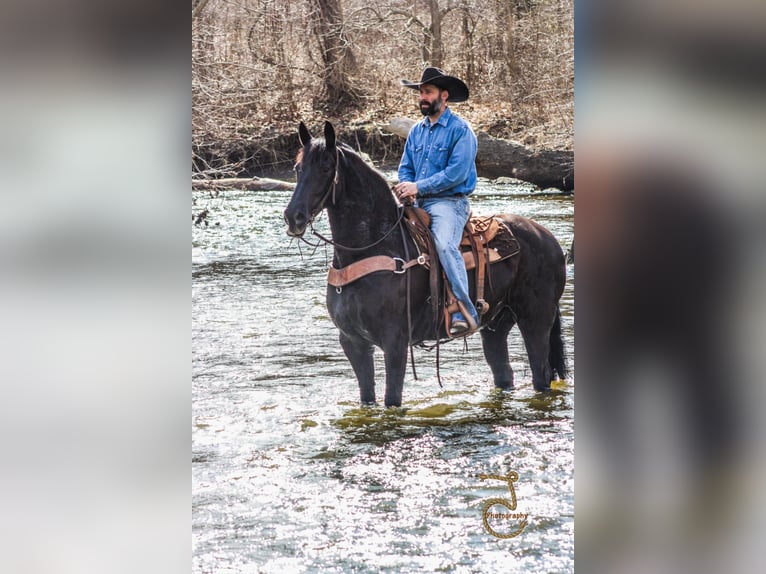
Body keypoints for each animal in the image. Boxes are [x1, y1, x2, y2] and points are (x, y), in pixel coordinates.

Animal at [284, 122, 568, 410]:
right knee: (504, 373)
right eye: (297, 168)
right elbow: (368, 396)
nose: (293, 217)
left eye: (326, 167)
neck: (373, 246)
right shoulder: (353, 342)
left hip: (536, 319)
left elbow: (392, 398)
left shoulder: (395, 342)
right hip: (496, 325)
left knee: (541, 374)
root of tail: (548, 238)